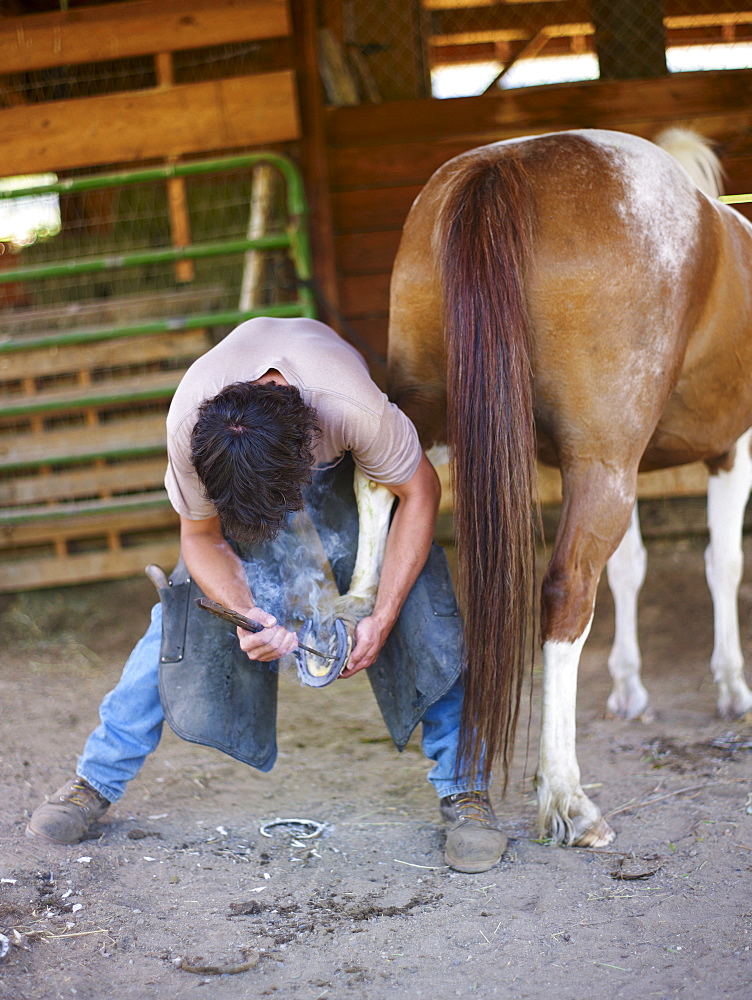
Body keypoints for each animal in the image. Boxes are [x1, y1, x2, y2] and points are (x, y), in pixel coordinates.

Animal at [384, 129, 752, 848]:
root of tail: (502, 164)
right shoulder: (723, 450)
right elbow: (722, 562)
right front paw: (732, 687)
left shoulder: (636, 463)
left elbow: (633, 570)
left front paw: (631, 690)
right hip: (600, 466)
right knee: (567, 592)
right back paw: (567, 797)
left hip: (435, 420)